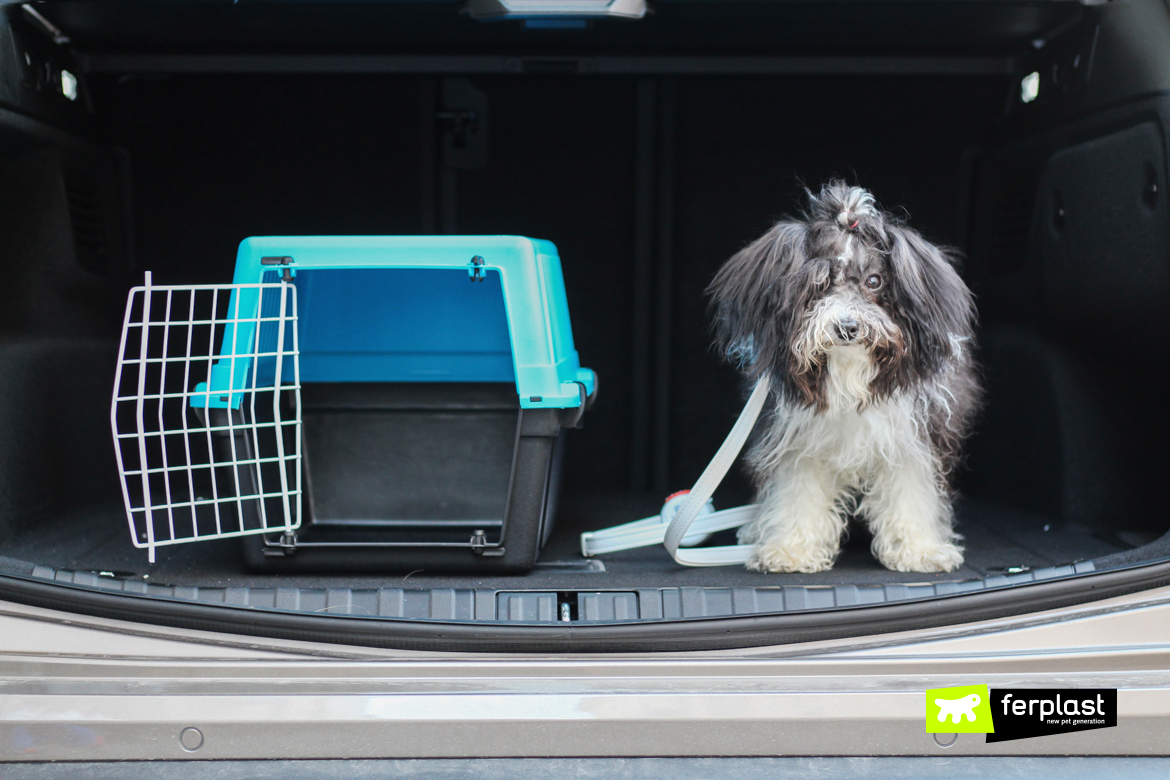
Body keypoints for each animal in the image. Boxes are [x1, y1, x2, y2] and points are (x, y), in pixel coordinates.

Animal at [706, 181, 982, 573]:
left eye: (874, 280)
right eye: (820, 284)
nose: (848, 327)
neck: (849, 376)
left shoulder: (912, 436)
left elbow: (911, 491)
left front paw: (919, 550)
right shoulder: (797, 438)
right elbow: (798, 492)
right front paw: (791, 549)